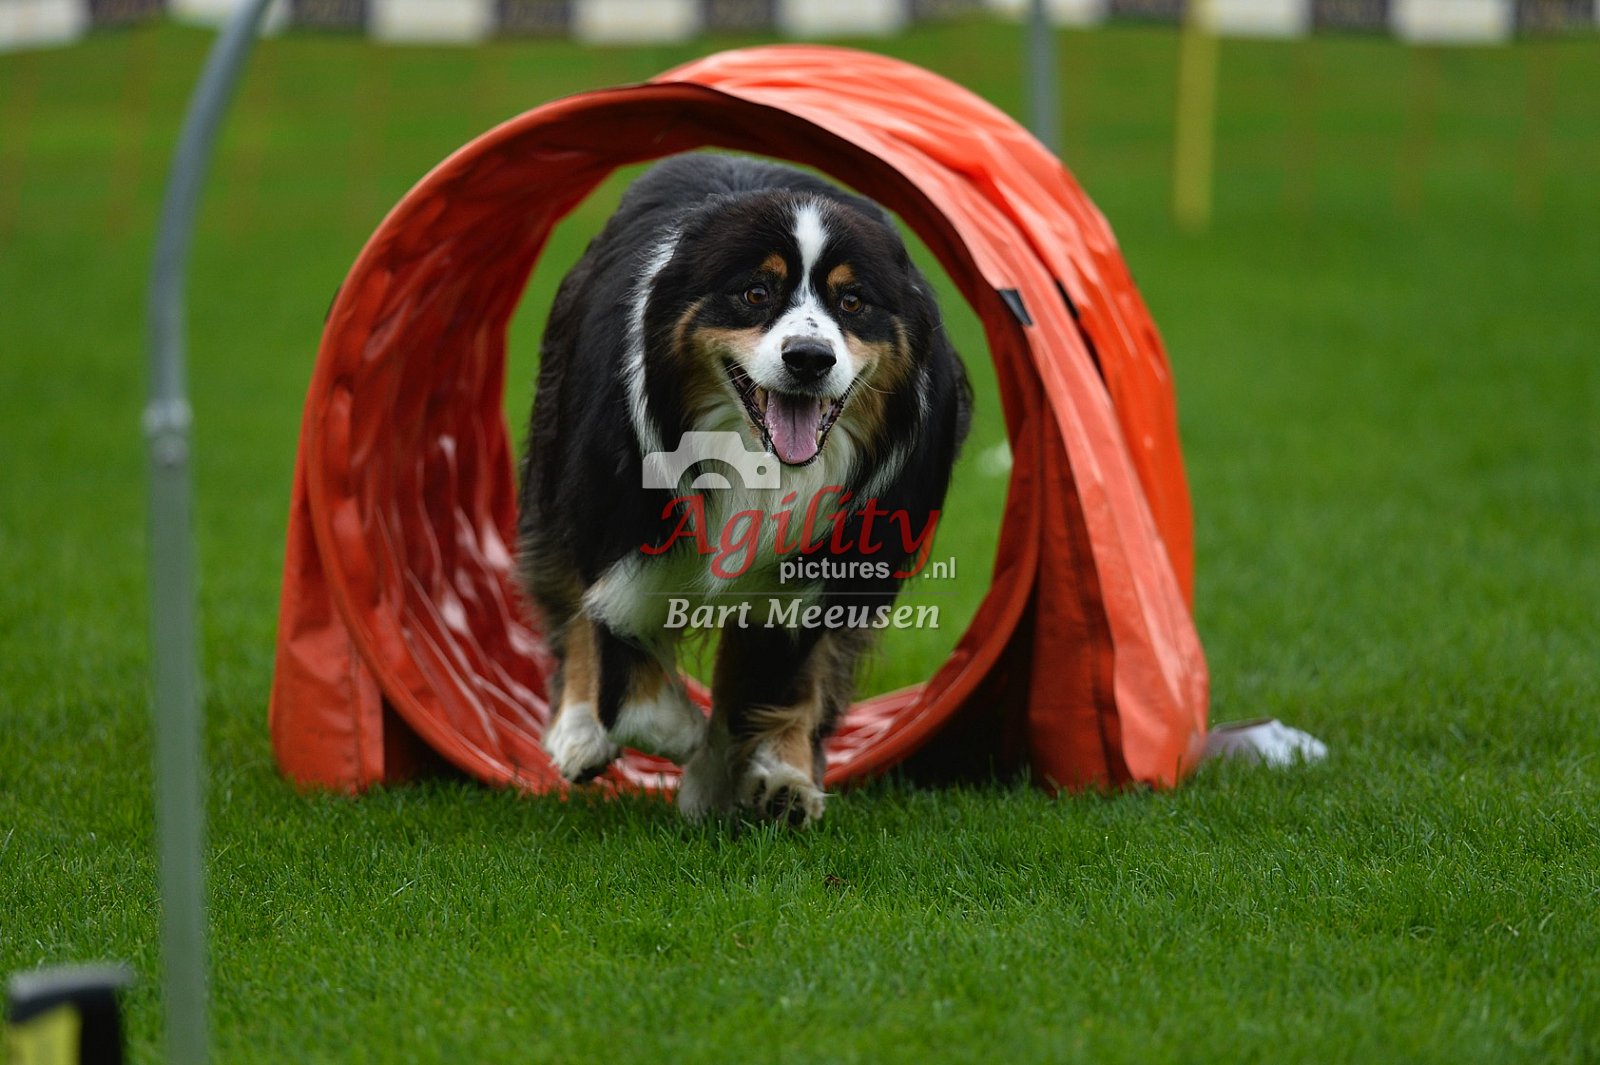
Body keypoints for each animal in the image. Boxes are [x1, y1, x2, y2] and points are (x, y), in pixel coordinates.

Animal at [517, 153, 970, 827]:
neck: (759, 461)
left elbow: (772, 677)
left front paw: (732, 773)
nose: (809, 357)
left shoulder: (826, 567)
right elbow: (620, 648)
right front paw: (678, 736)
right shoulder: (615, 514)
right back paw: (580, 733)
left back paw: (783, 780)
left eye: (852, 301)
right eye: (755, 293)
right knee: (566, 592)